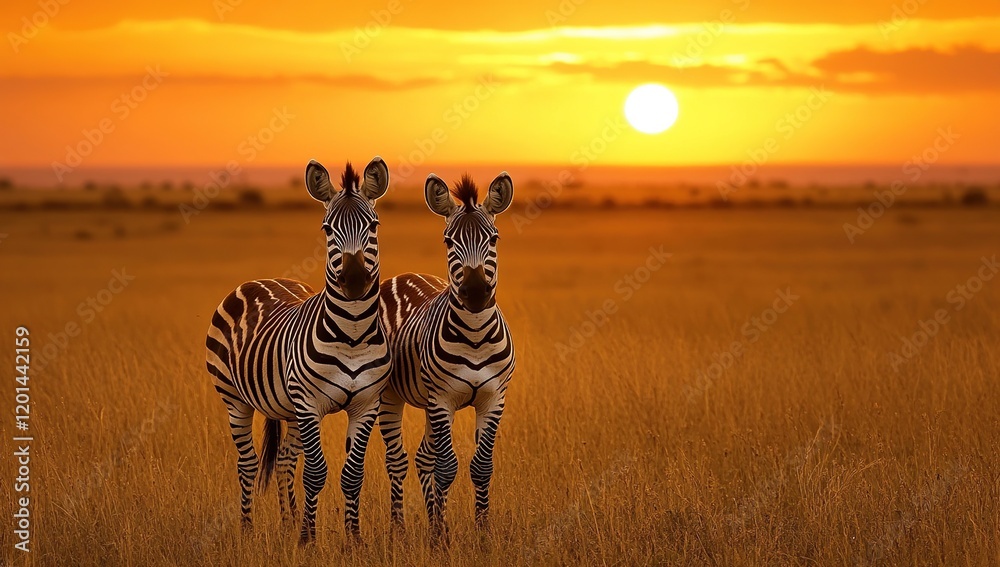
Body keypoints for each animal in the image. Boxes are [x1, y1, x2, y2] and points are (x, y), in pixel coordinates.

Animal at [204, 157, 391, 544]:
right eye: (327, 229)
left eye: (373, 225)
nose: (354, 281)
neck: (353, 333)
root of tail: (260, 279)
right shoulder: (309, 403)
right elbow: (316, 473)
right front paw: (308, 540)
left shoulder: (366, 404)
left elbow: (352, 475)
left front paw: (352, 540)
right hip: (235, 398)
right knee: (247, 463)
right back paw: (248, 531)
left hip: (287, 409)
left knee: (285, 461)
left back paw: (287, 523)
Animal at [378, 172, 516, 543]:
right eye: (448, 241)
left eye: (494, 238)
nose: (475, 292)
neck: (475, 337)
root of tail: (403, 275)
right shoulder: (443, 399)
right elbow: (447, 467)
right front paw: (440, 540)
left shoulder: (493, 399)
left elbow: (481, 466)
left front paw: (482, 535)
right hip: (389, 396)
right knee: (398, 460)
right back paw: (399, 531)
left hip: (427, 403)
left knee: (424, 457)